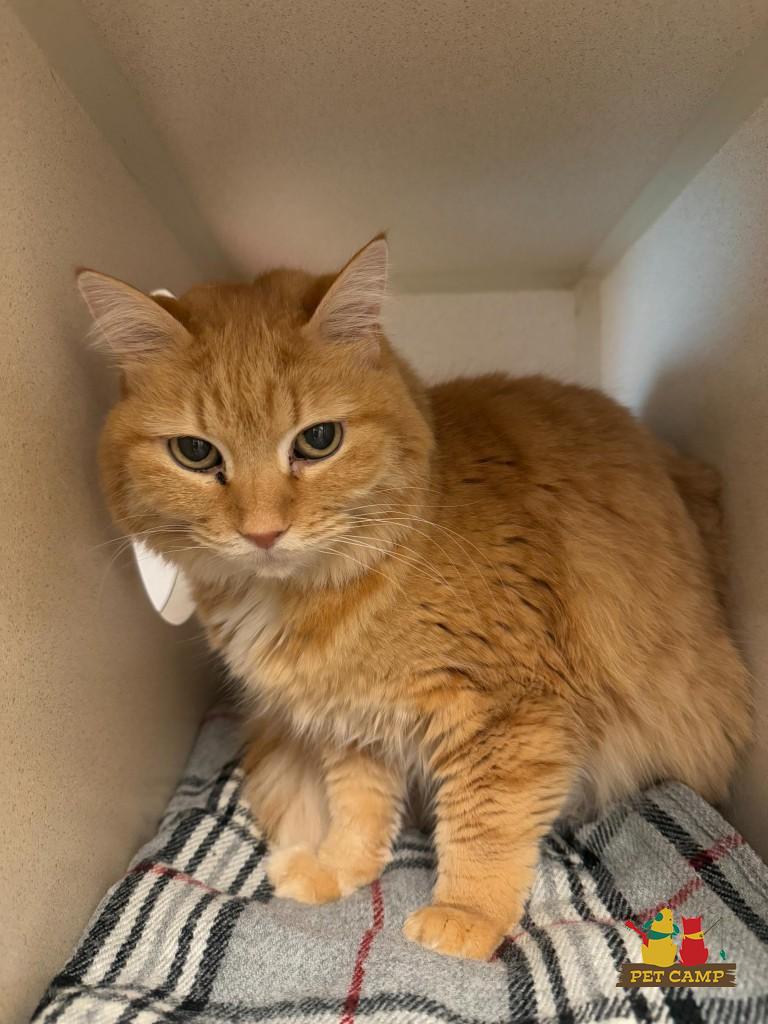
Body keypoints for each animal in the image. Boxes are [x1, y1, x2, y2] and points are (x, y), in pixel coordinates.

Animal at [77, 235, 751, 960]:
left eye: (318, 440)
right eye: (195, 453)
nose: (262, 532)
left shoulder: (506, 716)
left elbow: (486, 825)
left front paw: (466, 917)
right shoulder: (353, 724)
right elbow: (358, 810)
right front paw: (340, 868)